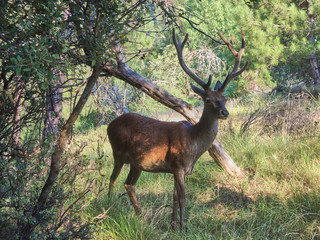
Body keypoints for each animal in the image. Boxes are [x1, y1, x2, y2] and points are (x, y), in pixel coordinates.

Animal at [107, 29, 248, 230]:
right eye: (208, 100)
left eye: (225, 98)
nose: (225, 112)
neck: (194, 142)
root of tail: (110, 125)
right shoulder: (178, 165)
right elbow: (182, 199)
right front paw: (183, 227)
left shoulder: (176, 169)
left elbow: (174, 198)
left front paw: (173, 225)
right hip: (117, 152)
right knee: (112, 179)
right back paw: (109, 207)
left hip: (137, 163)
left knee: (128, 184)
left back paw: (140, 217)